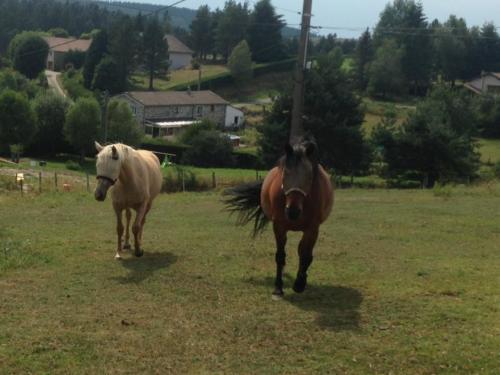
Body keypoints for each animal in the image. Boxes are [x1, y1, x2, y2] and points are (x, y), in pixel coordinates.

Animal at [226, 140, 334, 298]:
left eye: (309, 176)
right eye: (285, 174)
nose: (293, 212)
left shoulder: (313, 229)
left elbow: (306, 255)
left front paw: (299, 284)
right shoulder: (279, 227)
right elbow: (280, 256)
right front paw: (278, 288)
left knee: (304, 253)